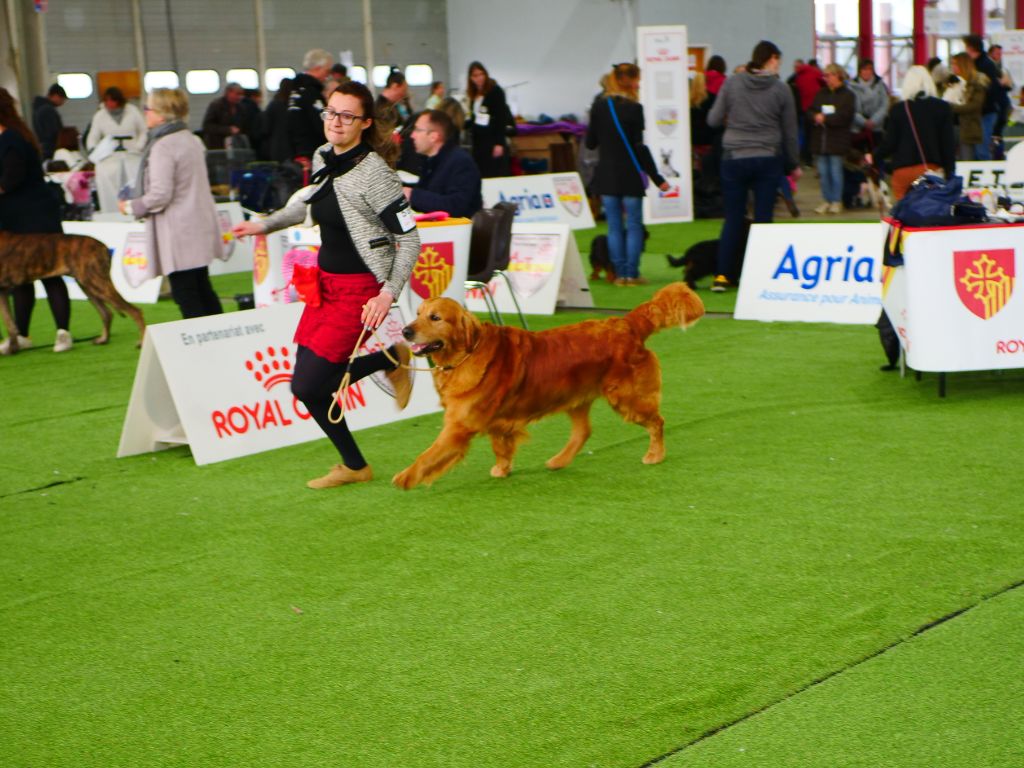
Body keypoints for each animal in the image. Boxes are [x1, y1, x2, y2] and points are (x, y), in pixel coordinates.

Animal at [0, 230, 146, 354]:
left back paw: (142, 342)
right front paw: (12, 348)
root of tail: (103, 246)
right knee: (107, 313)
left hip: (96, 282)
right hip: (88, 285)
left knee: (135, 311)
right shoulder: (3, 293)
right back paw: (103, 339)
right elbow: (10, 324)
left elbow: (8, 323)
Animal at [391, 280, 704, 489]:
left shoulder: (458, 426)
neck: (467, 352)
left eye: (435, 317)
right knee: (584, 431)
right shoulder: (496, 422)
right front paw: (502, 469)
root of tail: (626, 322)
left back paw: (655, 455)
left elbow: (429, 454)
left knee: (657, 422)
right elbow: (501, 447)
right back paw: (559, 461)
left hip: (626, 396)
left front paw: (406, 477)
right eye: (418, 313)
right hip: (577, 397)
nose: (405, 331)